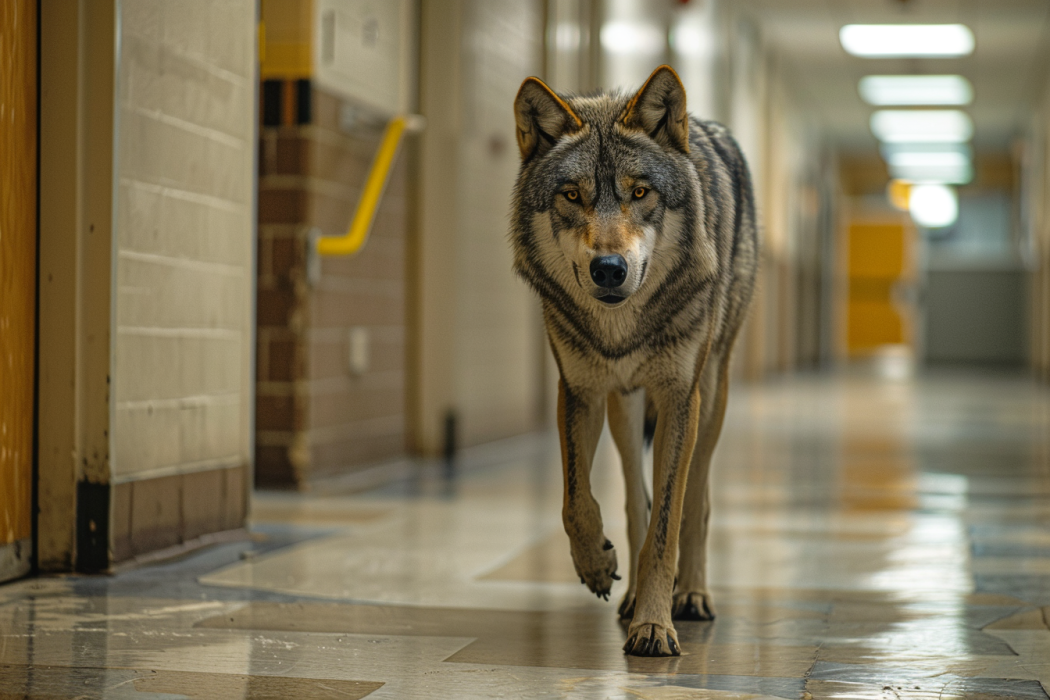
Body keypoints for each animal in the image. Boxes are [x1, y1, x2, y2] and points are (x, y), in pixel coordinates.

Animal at [509, 65, 758, 657]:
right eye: (572, 195)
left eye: (640, 192)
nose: (608, 268)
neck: (621, 331)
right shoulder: (578, 390)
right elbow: (577, 501)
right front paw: (597, 567)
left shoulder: (679, 398)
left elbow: (668, 525)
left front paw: (655, 624)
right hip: (624, 408)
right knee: (632, 493)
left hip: (711, 399)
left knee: (697, 501)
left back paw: (690, 596)